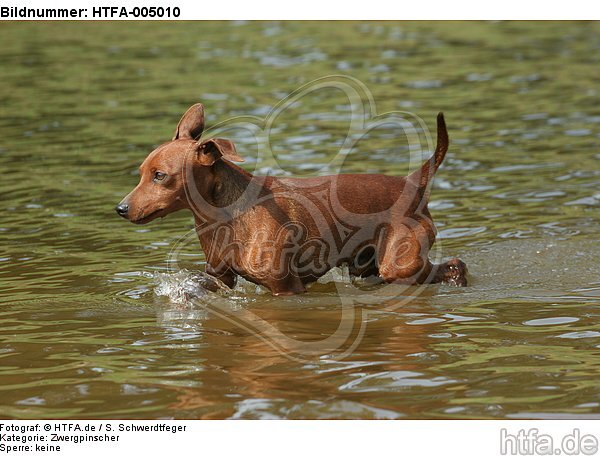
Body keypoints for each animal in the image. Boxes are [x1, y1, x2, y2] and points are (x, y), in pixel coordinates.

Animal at [115, 103, 466, 296]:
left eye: (160, 176)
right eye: (141, 173)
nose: (121, 208)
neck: (225, 215)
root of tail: (413, 181)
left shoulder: (286, 289)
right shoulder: (221, 277)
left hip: (399, 264)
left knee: (453, 266)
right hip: (366, 267)